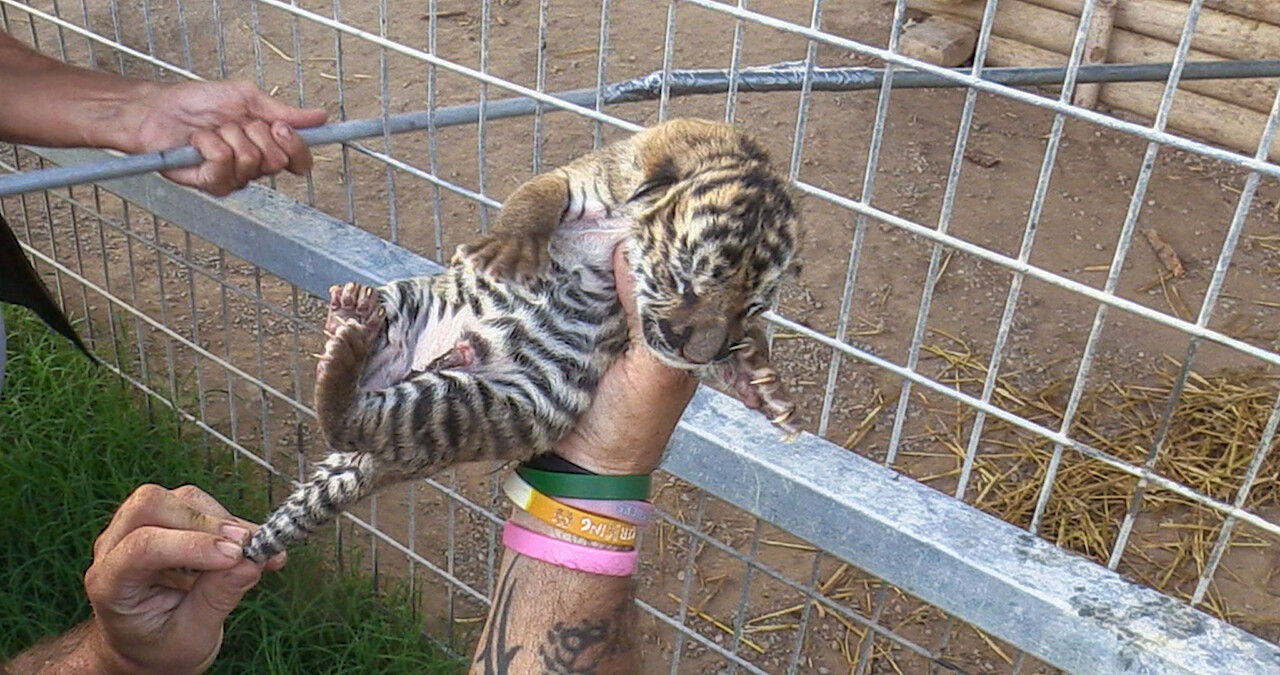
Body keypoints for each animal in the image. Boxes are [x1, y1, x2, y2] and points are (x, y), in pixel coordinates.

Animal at [244, 118, 802, 563]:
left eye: (751, 307)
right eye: (684, 281)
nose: (696, 351)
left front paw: (762, 383)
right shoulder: (583, 178)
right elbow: (536, 197)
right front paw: (506, 249)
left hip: (480, 404)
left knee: (351, 421)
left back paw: (348, 339)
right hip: (410, 310)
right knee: (343, 416)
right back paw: (350, 321)